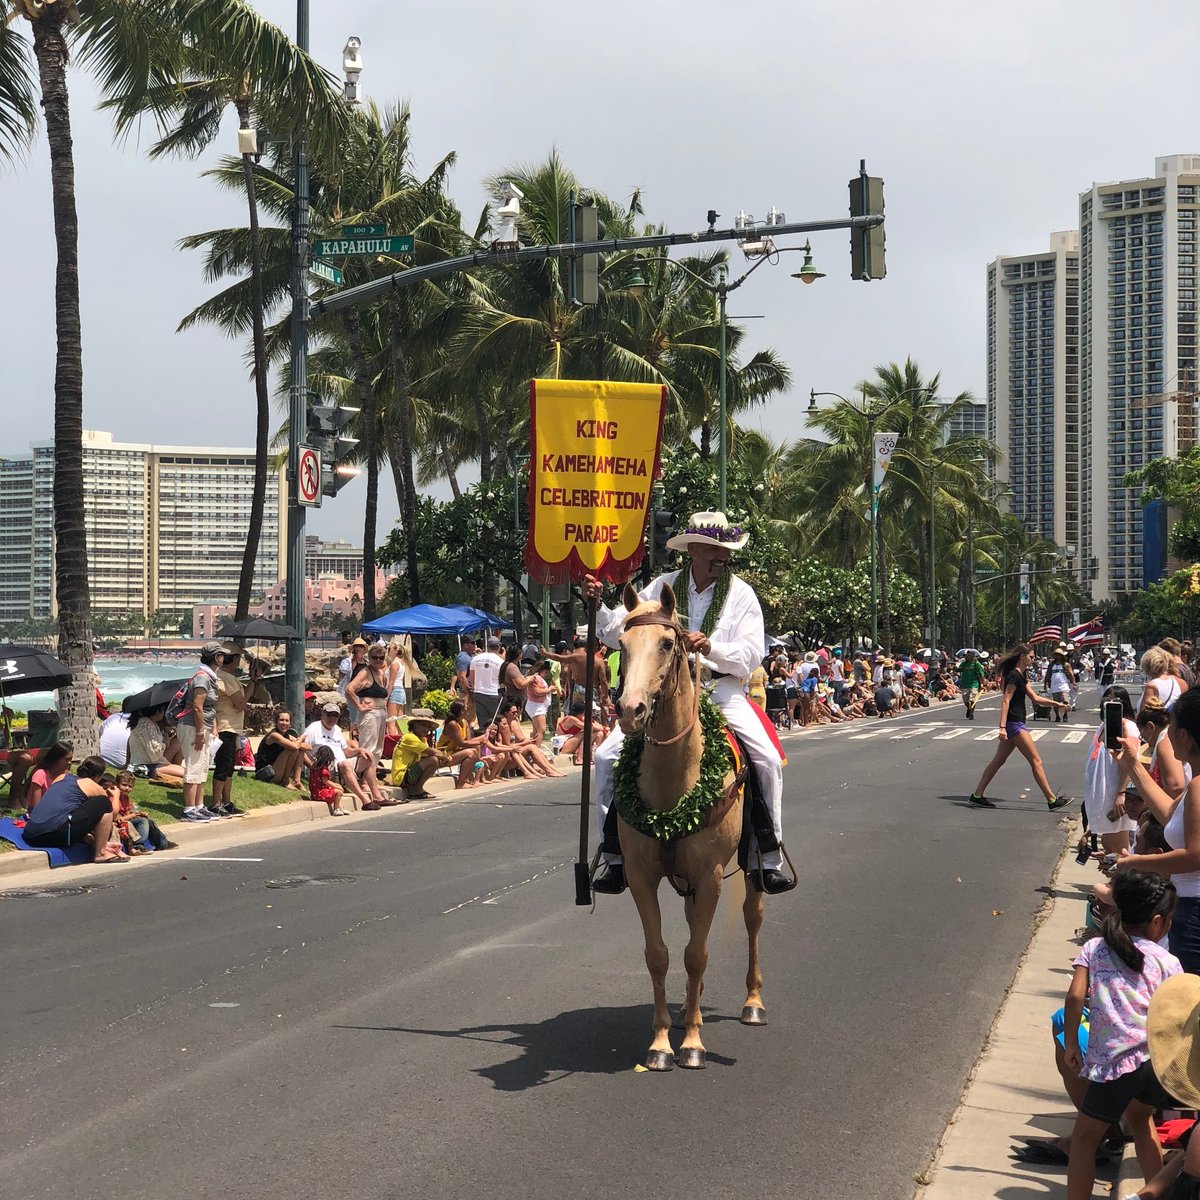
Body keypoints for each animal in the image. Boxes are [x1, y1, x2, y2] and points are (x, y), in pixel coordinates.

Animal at [614, 580, 763, 1070]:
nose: (631, 710)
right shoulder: (642, 875)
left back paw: (752, 1002)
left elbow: (696, 954)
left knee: (753, 917)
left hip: (752, 866)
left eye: (667, 643)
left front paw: (694, 1044)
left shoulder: (711, 874)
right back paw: (684, 1010)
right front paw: (661, 1042)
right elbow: (659, 954)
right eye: (620, 645)